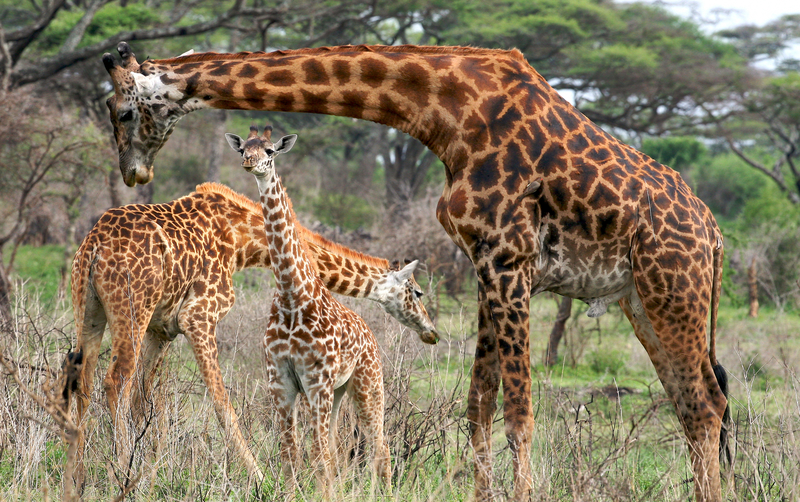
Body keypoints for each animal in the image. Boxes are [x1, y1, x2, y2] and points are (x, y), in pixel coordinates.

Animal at [63, 180, 436, 490]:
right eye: (417, 292)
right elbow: (221, 403)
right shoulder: (198, 316)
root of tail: (95, 243)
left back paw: (78, 475)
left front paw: (150, 469)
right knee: (115, 380)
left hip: (89, 308)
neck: (243, 241)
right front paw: (258, 477)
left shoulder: (162, 327)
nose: (431, 331)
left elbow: (145, 401)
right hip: (131, 308)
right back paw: (121, 471)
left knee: (83, 379)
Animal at [229, 124, 391, 494]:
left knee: (380, 447)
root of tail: (371, 335)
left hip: (367, 385)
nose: (249, 162)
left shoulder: (315, 381)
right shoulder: (280, 381)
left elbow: (317, 456)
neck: (292, 296)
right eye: (243, 148)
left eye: (270, 150)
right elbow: (291, 454)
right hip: (339, 392)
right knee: (337, 447)